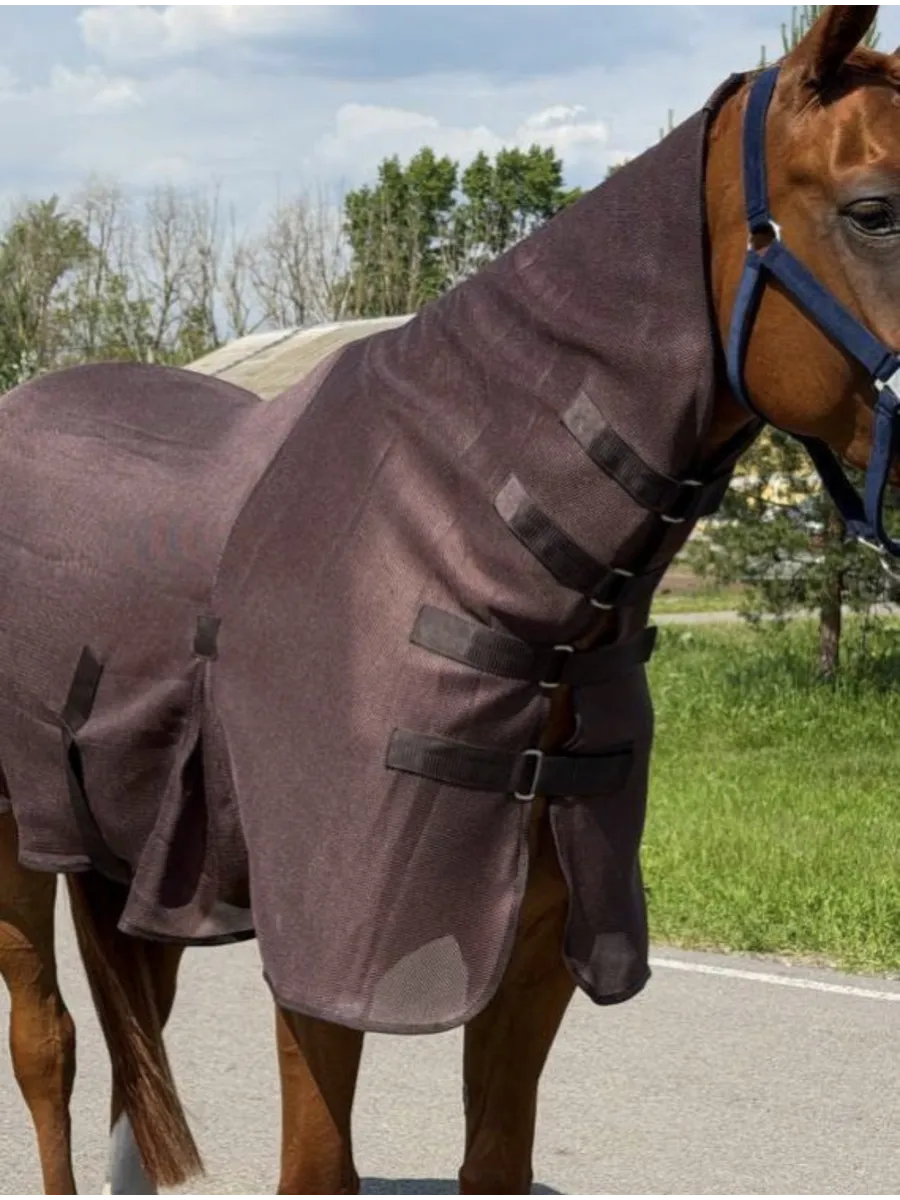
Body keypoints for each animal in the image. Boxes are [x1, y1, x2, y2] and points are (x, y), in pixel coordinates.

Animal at [3, 5, 900, 1195]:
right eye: (874, 209)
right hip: (17, 833)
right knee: (47, 1045)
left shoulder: (535, 957)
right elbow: (316, 1169)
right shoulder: (326, 964)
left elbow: (495, 1162)